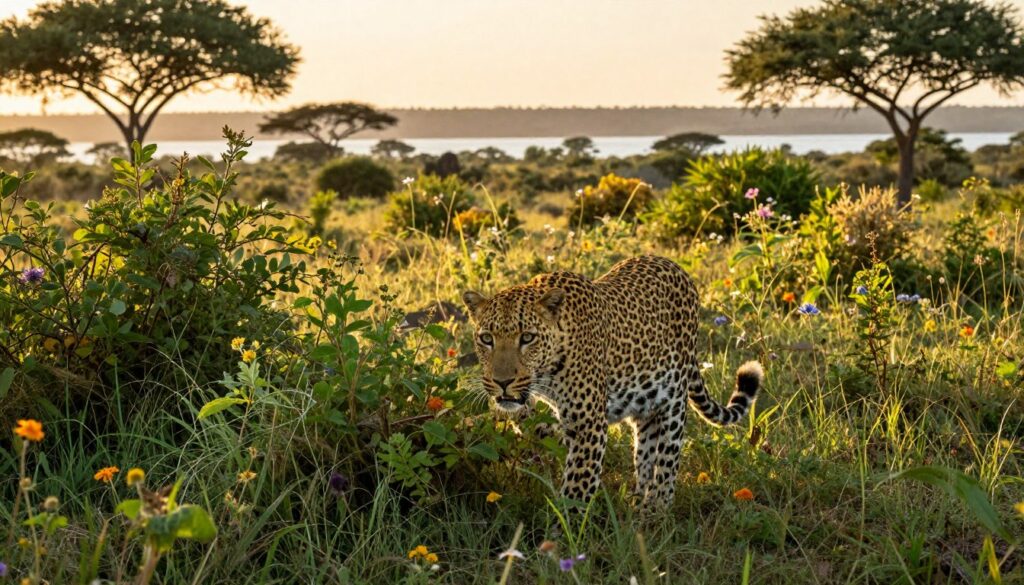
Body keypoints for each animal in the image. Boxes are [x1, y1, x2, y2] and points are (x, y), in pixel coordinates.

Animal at [462, 255, 763, 508]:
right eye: (486, 338)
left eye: (527, 338)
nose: (502, 382)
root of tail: (675, 266)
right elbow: (532, 423)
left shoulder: (588, 426)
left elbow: (577, 489)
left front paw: (563, 534)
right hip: (645, 406)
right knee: (646, 453)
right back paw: (638, 501)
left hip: (674, 401)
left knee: (667, 462)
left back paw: (656, 511)